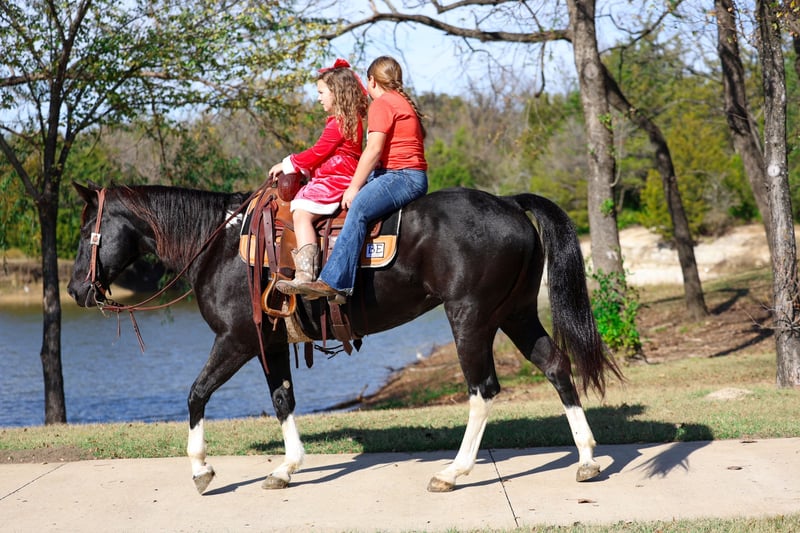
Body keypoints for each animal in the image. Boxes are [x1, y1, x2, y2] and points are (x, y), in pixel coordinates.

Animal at [67, 181, 621, 494]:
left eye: (85, 230)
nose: (75, 289)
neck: (220, 247)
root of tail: (507, 202)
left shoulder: (236, 341)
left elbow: (196, 394)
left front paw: (202, 471)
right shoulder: (271, 345)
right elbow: (282, 400)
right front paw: (287, 468)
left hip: (471, 317)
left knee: (482, 390)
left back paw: (452, 472)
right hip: (517, 313)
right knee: (557, 367)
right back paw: (587, 459)